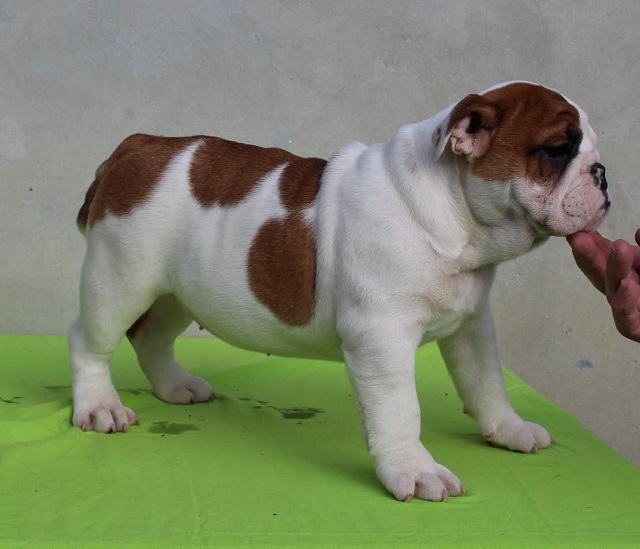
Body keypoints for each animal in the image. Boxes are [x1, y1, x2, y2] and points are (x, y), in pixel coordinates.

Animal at [69, 80, 608, 500]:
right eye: (557, 149)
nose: (602, 174)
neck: (457, 219)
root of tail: (136, 145)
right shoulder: (382, 337)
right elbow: (400, 410)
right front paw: (415, 471)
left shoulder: (472, 326)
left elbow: (487, 382)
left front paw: (509, 430)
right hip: (120, 278)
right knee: (90, 341)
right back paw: (99, 406)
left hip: (176, 292)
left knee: (151, 337)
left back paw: (174, 386)